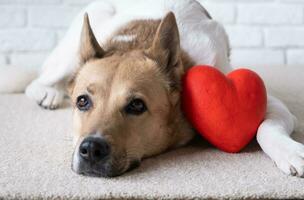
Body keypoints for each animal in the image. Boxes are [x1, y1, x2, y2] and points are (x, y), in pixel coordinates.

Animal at [0, 0, 302, 178]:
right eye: (83, 102)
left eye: (137, 105)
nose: (90, 149)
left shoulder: (266, 99)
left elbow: (265, 128)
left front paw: (290, 152)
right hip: (71, 52)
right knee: (39, 80)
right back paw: (48, 92)